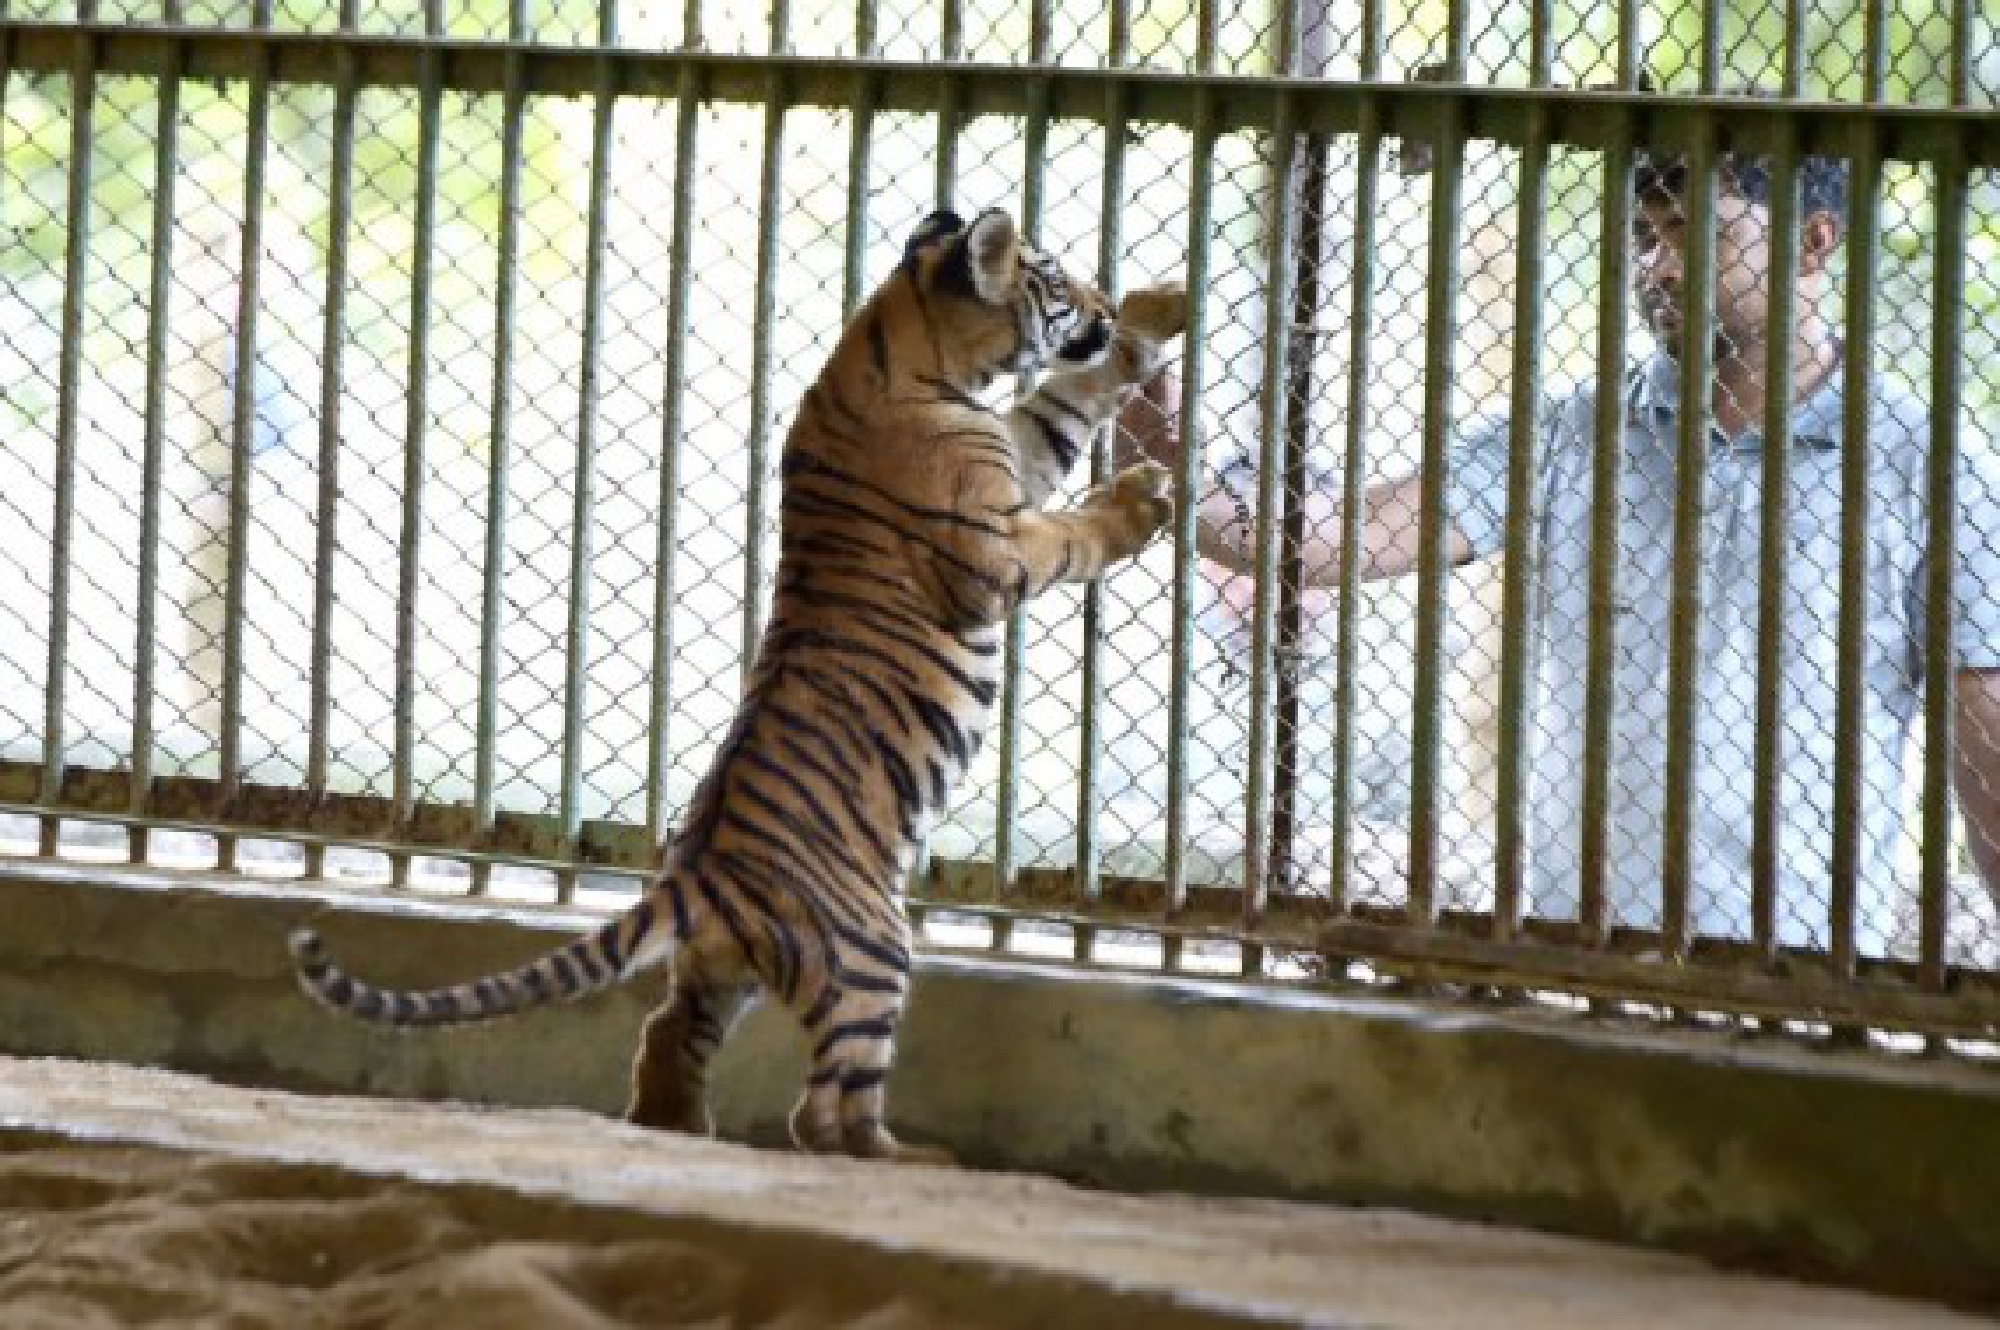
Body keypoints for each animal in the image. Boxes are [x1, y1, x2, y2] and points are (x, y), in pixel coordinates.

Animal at [290, 207, 1187, 1165]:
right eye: (1052, 281)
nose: (1100, 303)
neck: (897, 341)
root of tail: (698, 876)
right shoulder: (995, 548)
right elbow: (1072, 531)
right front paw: (1140, 499)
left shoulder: (1017, 454)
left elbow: (1060, 406)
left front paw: (1155, 317)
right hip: (873, 948)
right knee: (824, 1111)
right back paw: (903, 1157)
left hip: (725, 967)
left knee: (667, 1034)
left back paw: (684, 1129)